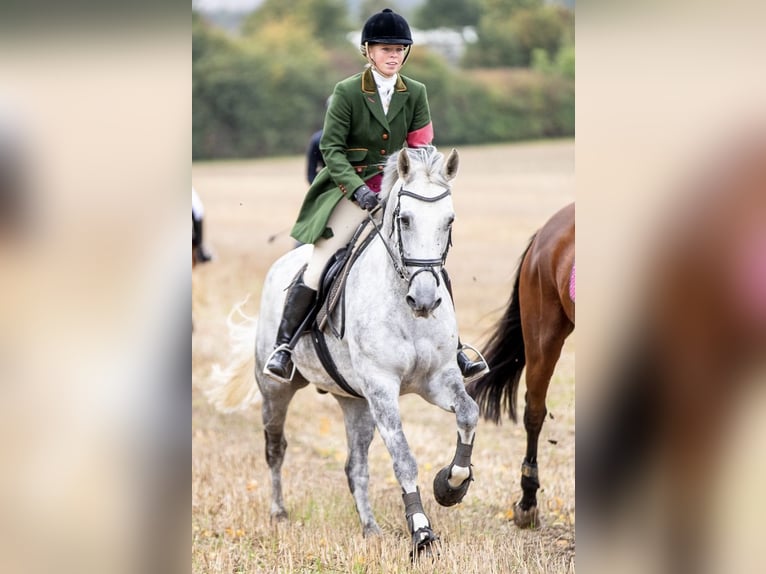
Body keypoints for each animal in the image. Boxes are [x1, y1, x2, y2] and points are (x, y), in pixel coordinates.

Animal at [207, 146, 479, 558]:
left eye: (449, 221)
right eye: (404, 219)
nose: (425, 300)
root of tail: (283, 264)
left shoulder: (439, 378)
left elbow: (468, 413)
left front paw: (450, 486)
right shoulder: (382, 388)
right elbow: (403, 459)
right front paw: (421, 532)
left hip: (356, 402)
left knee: (356, 467)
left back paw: (370, 528)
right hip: (276, 391)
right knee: (275, 447)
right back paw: (278, 511)